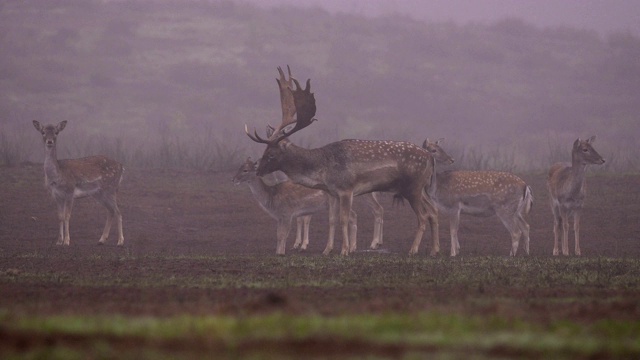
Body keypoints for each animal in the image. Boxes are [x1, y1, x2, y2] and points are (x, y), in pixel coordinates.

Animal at [245, 64, 440, 256]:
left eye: (271, 154)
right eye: (264, 151)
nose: (258, 170)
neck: (322, 170)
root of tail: (430, 157)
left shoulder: (346, 189)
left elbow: (343, 219)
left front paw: (345, 250)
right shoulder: (332, 192)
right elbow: (331, 219)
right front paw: (327, 250)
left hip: (412, 187)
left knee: (423, 216)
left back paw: (413, 249)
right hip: (422, 188)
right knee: (434, 211)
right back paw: (434, 250)